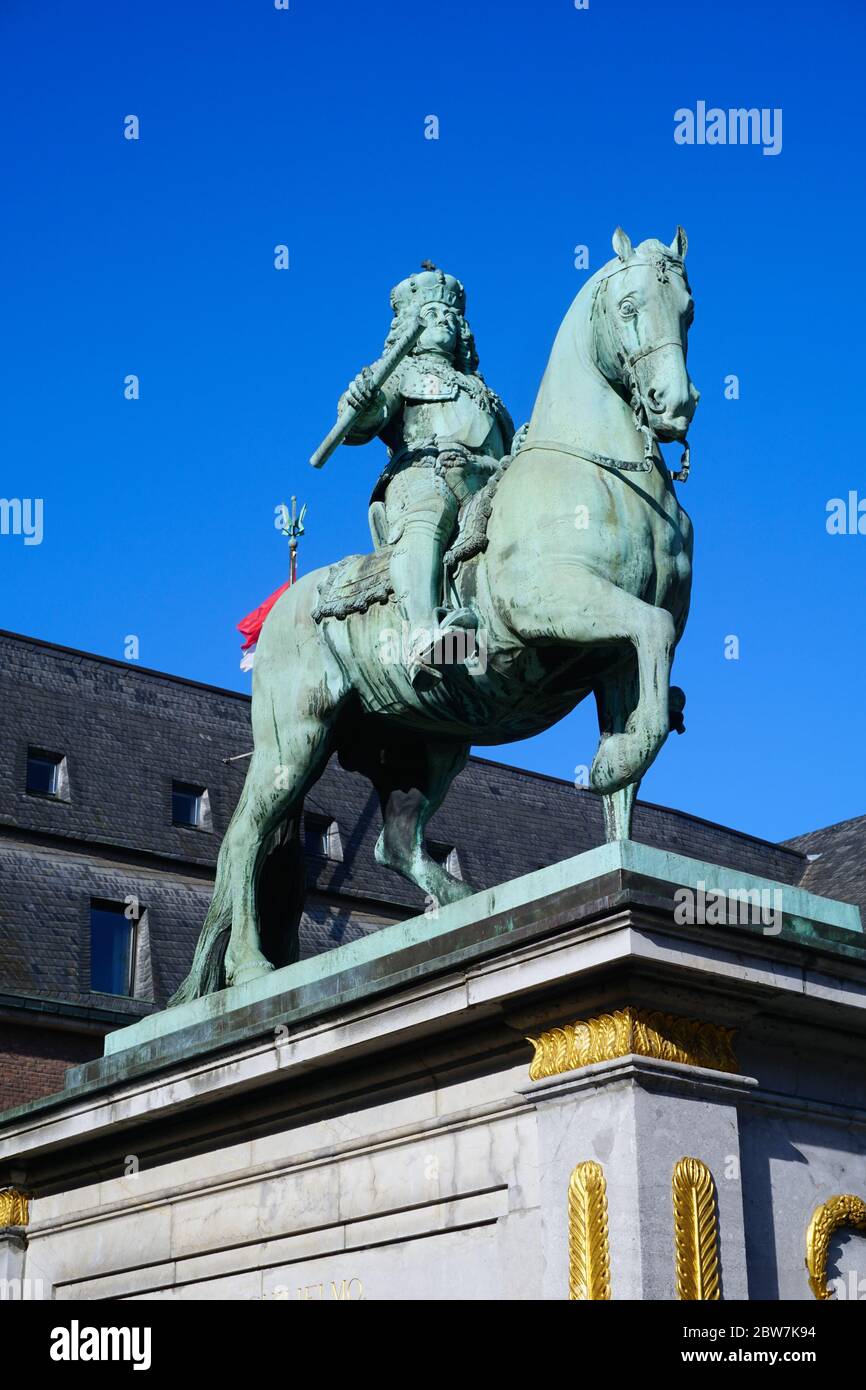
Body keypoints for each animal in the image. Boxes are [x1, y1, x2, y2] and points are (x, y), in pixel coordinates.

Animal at [169, 227, 697, 1000]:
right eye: (630, 305)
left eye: (687, 308)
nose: (674, 402)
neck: (601, 475)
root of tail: (288, 604)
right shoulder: (553, 606)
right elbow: (648, 639)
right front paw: (609, 764)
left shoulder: (613, 663)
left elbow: (637, 751)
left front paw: (615, 780)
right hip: (294, 739)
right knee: (244, 840)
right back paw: (252, 968)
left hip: (430, 745)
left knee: (394, 845)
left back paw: (462, 904)